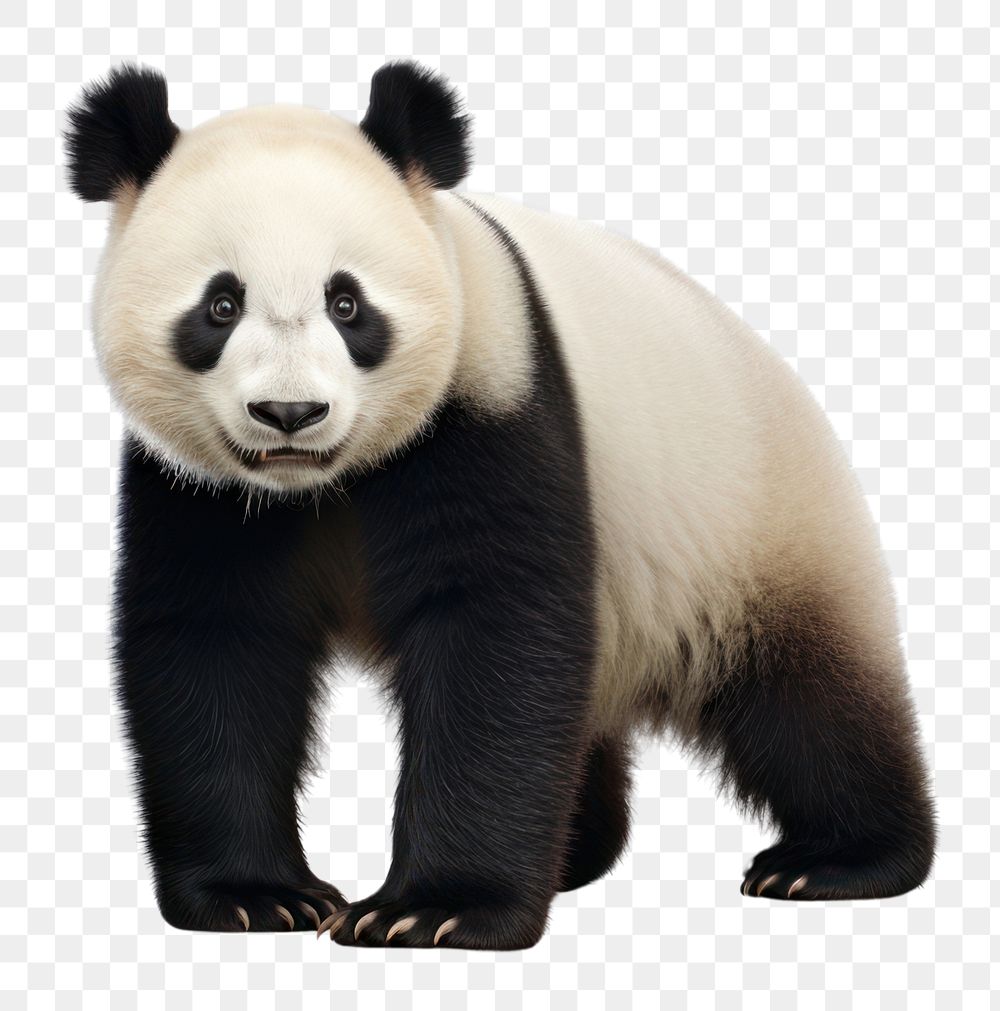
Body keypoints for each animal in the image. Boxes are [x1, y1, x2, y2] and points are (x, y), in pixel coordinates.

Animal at [65, 62, 935, 950]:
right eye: (220, 305)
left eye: (347, 304)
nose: (289, 413)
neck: (319, 484)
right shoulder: (195, 487)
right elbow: (215, 643)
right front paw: (256, 896)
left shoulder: (493, 397)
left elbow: (496, 637)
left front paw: (436, 908)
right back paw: (577, 852)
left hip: (755, 525)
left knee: (808, 704)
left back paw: (837, 861)